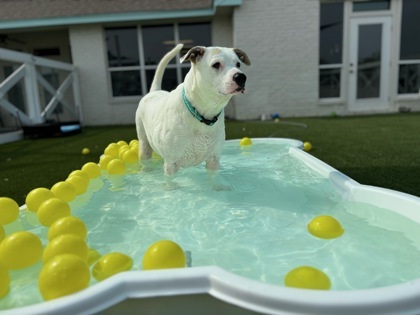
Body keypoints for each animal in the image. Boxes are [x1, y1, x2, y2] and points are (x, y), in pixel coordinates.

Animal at [136, 44, 251, 183]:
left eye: (238, 64)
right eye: (216, 64)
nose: (241, 77)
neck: (202, 113)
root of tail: (155, 91)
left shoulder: (213, 160)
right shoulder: (171, 164)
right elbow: (171, 182)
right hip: (144, 144)